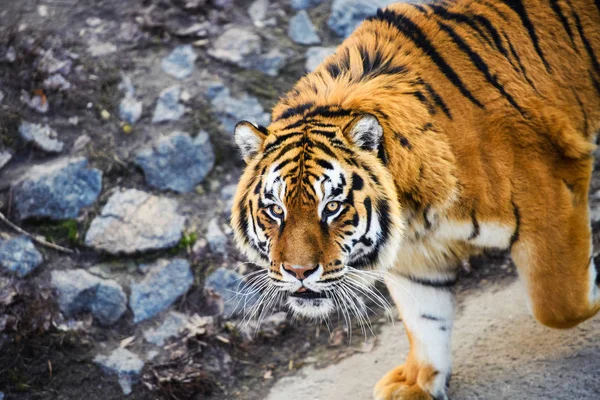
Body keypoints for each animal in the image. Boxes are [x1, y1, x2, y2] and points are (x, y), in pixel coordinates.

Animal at [229, 0, 600, 396]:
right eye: (275, 210)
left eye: (332, 207)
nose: (298, 272)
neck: (415, 211)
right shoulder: (412, 256)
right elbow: (424, 319)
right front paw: (418, 382)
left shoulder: (551, 203)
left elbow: (559, 305)